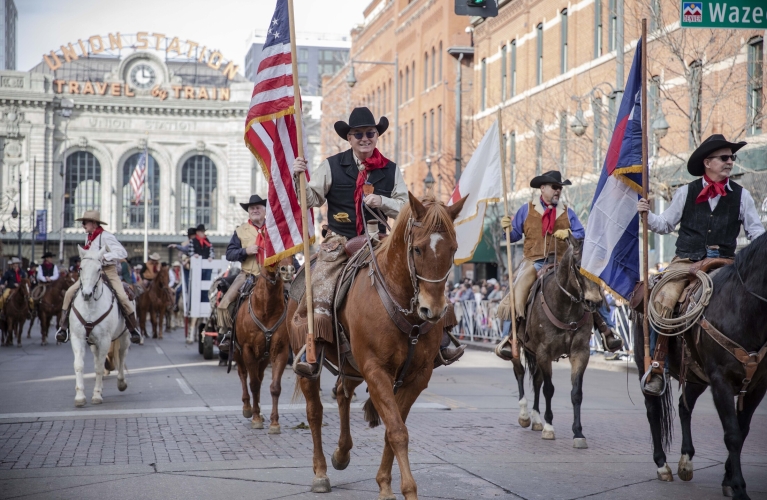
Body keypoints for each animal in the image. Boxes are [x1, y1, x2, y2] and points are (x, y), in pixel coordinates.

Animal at [70, 245, 130, 406]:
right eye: (80, 268)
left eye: (98, 269)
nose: (86, 294)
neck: (90, 307)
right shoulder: (77, 338)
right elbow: (79, 365)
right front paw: (80, 397)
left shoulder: (104, 340)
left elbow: (99, 367)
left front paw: (96, 395)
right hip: (92, 343)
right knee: (98, 358)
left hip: (124, 336)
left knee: (122, 355)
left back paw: (121, 383)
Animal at [232, 262, 292, 434]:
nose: (288, 270)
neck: (266, 310)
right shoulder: (247, 350)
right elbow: (253, 384)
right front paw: (256, 418)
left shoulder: (280, 351)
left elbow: (274, 387)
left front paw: (274, 423)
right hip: (237, 352)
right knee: (243, 374)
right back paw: (248, 408)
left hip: (263, 358)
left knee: (259, 376)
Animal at [290, 193, 464, 498]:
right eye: (417, 250)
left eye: (453, 249)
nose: (433, 310)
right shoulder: (376, 370)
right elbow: (397, 430)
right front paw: (406, 490)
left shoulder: (416, 377)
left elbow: (392, 428)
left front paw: (384, 483)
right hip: (313, 361)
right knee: (315, 412)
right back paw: (321, 472)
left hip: (351, 365)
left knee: (342, 393)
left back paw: (342, 453)